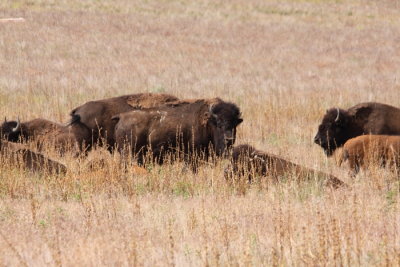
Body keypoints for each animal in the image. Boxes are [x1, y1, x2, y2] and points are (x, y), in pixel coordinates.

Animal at [112, 98, 244, 169]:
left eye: (234, 124)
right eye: (219, 124)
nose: (229, 139)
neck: (207, 122)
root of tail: (122, 116)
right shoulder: (192, 156)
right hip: (127, 153)